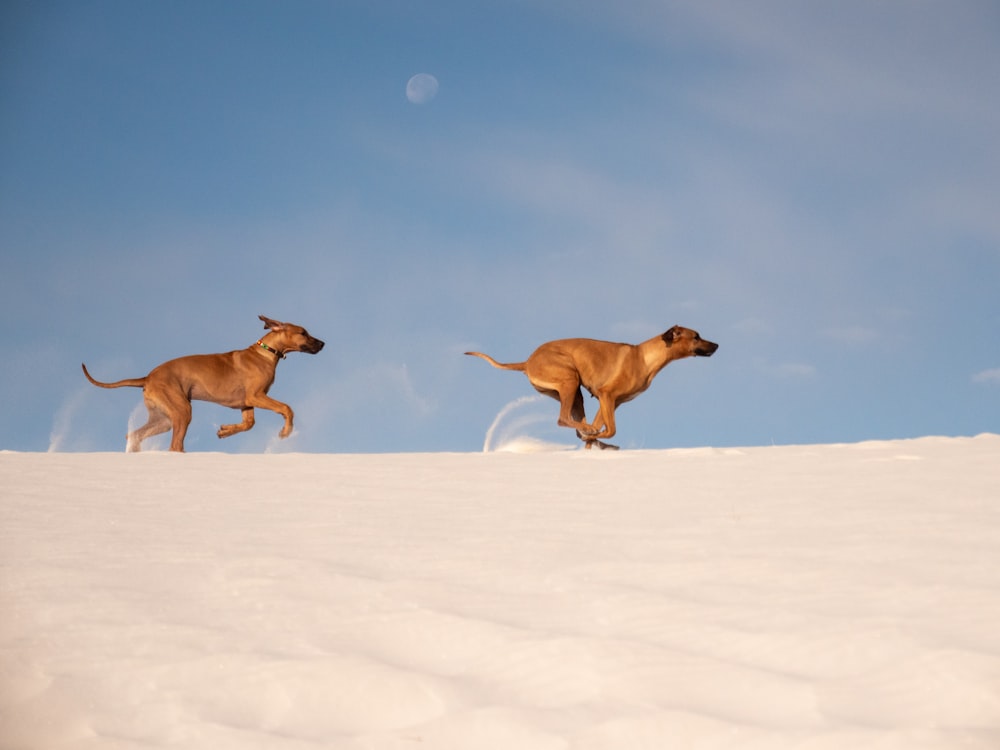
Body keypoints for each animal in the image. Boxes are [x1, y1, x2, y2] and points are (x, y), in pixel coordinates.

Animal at [83, 316, 324, 452]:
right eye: (303, 333)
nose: (323, 343)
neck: (266, 351)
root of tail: (148, 377)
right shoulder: (256, 396)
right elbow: (287, 408)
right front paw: (285, 432)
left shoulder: (247, 402)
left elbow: (249, 424)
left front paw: (225, 431)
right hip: (182, 410)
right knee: (175, 446)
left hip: (163, 417)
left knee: (134, 435)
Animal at [464, 328, 716, 450]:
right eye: (696, 336)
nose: (717, 345)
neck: (645, 357)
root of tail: (527, 361)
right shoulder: (607, 395)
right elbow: (610, 429)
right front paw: (597, 437)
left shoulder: (611, 402)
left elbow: (599, 428)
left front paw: (593, 444)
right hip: (570, 380)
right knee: (563, 419)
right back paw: (592, 434)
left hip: (575, 393)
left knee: (576, 425)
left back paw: (595, 439)